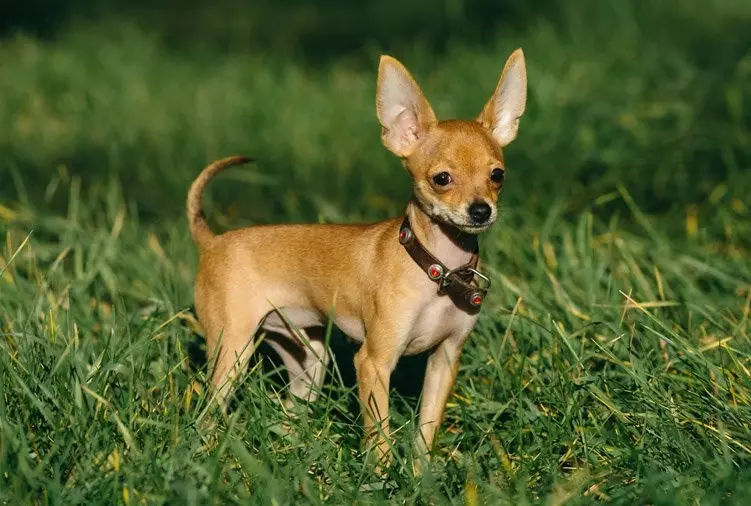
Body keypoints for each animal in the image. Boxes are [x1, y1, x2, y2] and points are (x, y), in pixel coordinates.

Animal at [188, 49, 528, 472]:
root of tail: (213, 241)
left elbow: (426, 430)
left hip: (309, 362)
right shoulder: (373, 362)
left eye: (498, 175)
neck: (437, 268)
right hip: (232, 351)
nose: (481, 210)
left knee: (289, 413)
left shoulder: (444, 360)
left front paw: (420, 475)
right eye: (442, 179)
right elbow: (379, 435)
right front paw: (381, 477)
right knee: (207, 411)